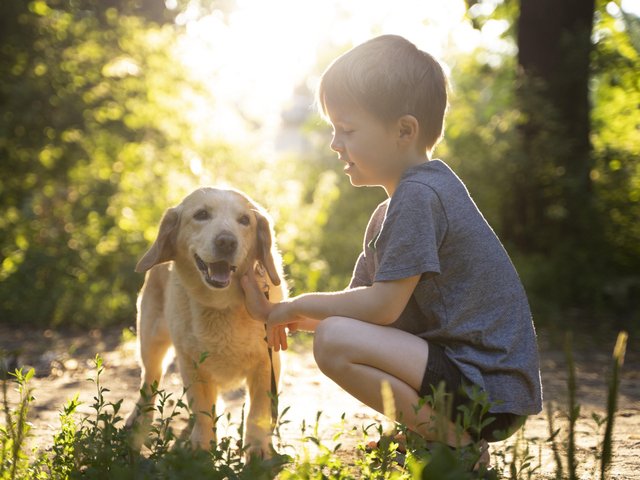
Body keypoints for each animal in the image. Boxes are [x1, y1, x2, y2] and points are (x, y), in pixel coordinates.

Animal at [125, 186, 284, 456]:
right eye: (201, 214)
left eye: (245, 220)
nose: (227, 242)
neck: (221, 306)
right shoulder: (191, 365)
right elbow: (202, 410)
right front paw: (201, 446)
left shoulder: (267, 364)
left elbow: (258, 412)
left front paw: (258, 446)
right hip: (151, 342)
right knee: (149, 382)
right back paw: (138, 420)